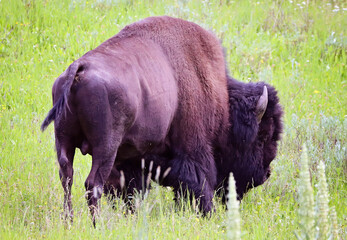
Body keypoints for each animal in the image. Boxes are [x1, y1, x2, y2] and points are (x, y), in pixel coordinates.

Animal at [42, 15, 284, 223]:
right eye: (263, 136)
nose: (266, 173)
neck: (221, 97)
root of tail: (79, 69)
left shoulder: (133, 157)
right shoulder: (193, 149)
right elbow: (199, 180)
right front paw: (207, 213)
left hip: (63, 141)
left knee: (67, 177)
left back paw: (69, 222)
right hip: (105, 148)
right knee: (93, 184)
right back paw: (97, 225)